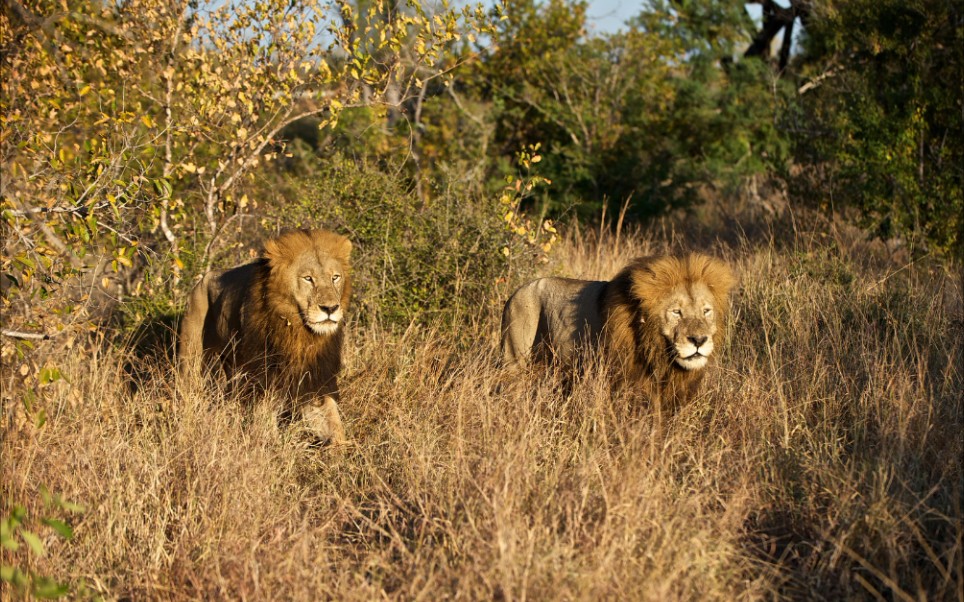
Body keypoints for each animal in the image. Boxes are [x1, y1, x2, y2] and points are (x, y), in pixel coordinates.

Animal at [179, 227, 352, 442]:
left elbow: (334, 425)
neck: (300, 331)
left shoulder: (316, 378)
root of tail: (201, 279)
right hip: (192, 357)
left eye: (335, 277)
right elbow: (265, 420)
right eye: (308, 278)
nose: (330, 308)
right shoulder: (263, 380)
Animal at [500, 253, 736, 408]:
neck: (657, 351)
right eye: (676, 312)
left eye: (706, 311)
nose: (699, 340)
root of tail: (514, 293)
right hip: (514, 359)